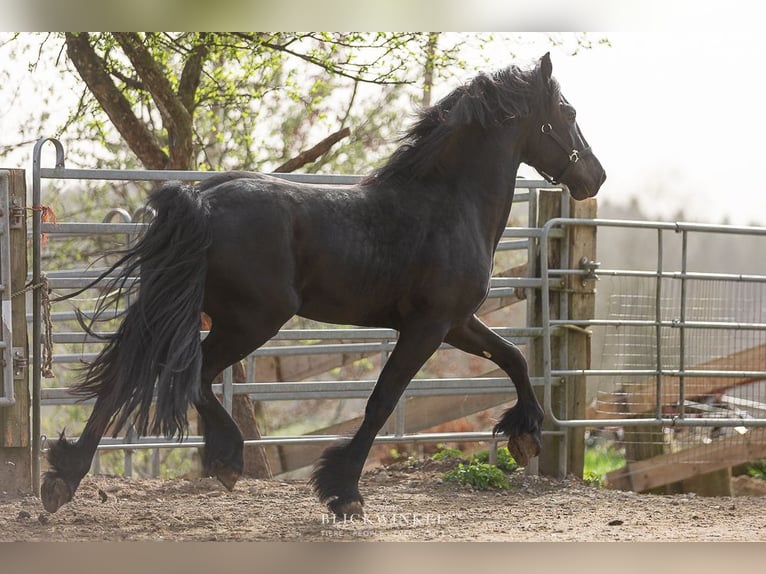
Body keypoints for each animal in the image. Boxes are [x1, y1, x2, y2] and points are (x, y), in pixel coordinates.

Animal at [41, 52, 605, 517]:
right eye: (570, 113)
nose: (595, 177)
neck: (448, 205)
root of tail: (201, 200)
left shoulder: (457, 322)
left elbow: (513, 357)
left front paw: (525, 436)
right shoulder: (427, 327)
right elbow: (381, 402)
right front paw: (343, 492)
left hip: (187, 310)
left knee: (128, 377)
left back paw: (67, 477)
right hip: (253, 319)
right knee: (193, 373)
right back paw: (223, 459)